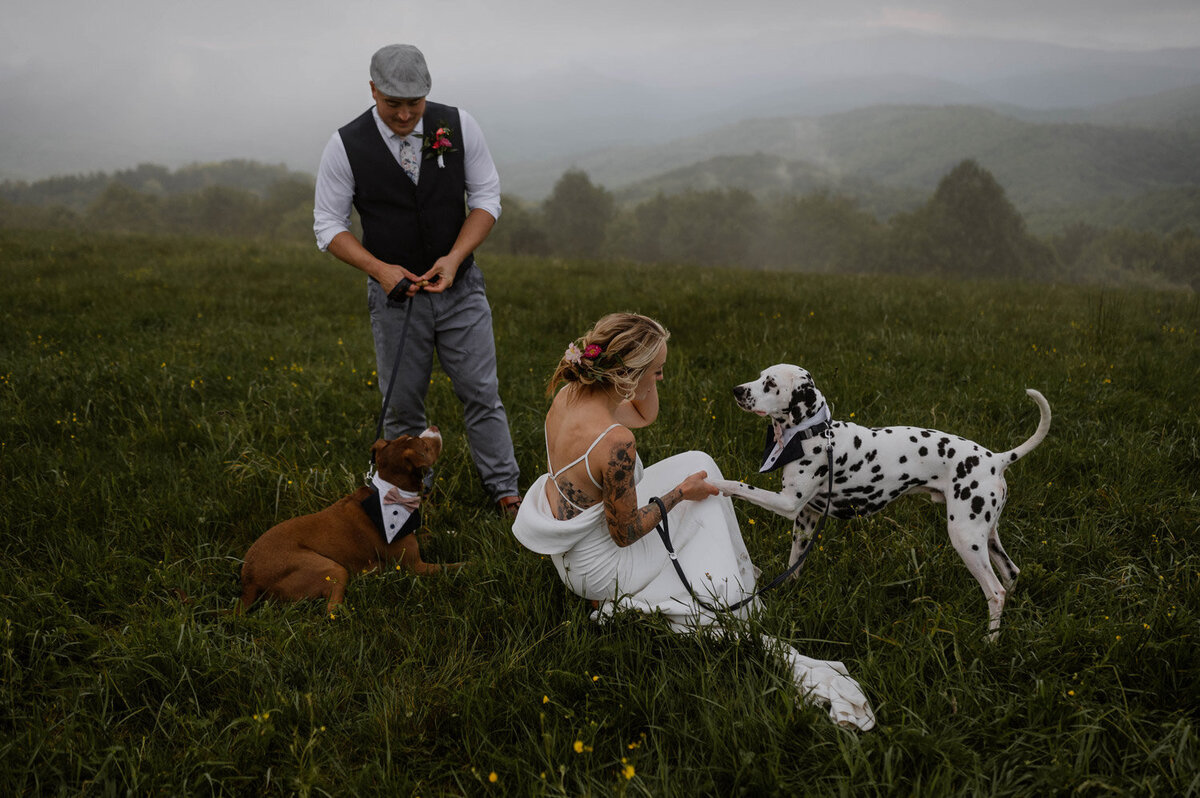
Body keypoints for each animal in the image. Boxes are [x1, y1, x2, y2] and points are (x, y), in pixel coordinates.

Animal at [236, 427, 460, 612]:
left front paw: (452, 533)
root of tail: (249, 580)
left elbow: (432, 534)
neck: (391, 492)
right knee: (331, 610)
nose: (434, 427)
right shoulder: (416, 567)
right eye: (425, 446)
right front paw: (468, 564)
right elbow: (454, 566)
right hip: (332, 568)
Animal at [710, 364, 1051, 638]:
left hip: (966, 539)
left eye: (769, 383)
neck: (812, 434)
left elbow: (738, 485)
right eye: (759, 377)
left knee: (996, 592)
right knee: (1011, 574)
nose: (737, 390)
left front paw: (712, 482)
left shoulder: (786, 503)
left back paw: (989, 642)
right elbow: (794, 566)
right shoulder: (805, 518)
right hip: (986, 536)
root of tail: (996, 459)